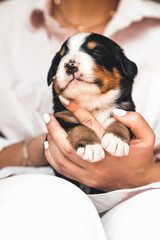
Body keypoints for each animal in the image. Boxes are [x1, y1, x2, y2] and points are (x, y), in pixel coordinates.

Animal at [47, 31, 137, 194]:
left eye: (96, 52)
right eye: (60, 58)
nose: (70, 64)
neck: (93, 104)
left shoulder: (126, 111)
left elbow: (121, 122)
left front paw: (116, 140)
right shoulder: (60, 117)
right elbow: (78, 126)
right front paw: (91, 146)